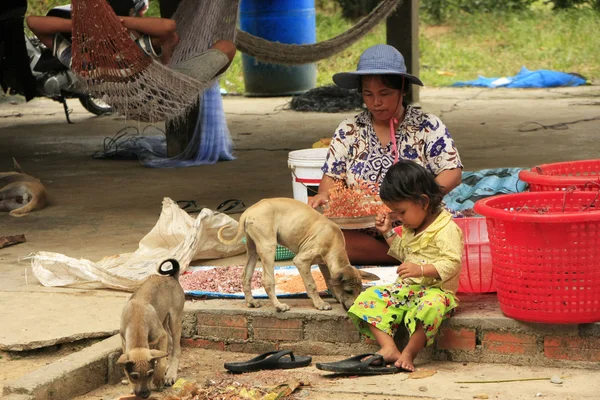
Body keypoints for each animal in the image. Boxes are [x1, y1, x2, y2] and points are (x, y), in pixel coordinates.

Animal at [116, 258, 184, 398]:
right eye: (134, 376)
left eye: (150, 374)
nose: (145, 395)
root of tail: (171, 277)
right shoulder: (124, 342)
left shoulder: (161, 335)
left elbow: (161, 361)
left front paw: (158, 379)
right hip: (163, 321)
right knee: (170, 343)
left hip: (175, 320)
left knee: (176, 349)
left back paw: (170, 374)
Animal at [217, 197, 380, 312]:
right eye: (349, 291)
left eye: (360, 291)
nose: (353, 309)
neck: (333, 242)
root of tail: (248, 211)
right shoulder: (301, 260)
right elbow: (311, 284)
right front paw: (319, 303)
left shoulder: (323, 263)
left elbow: (329, 281)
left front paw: (333, 295)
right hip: (268, 247)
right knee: (267, 281)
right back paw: (279, 306)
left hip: (252, 249)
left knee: (245, 276)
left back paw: (251, 301)